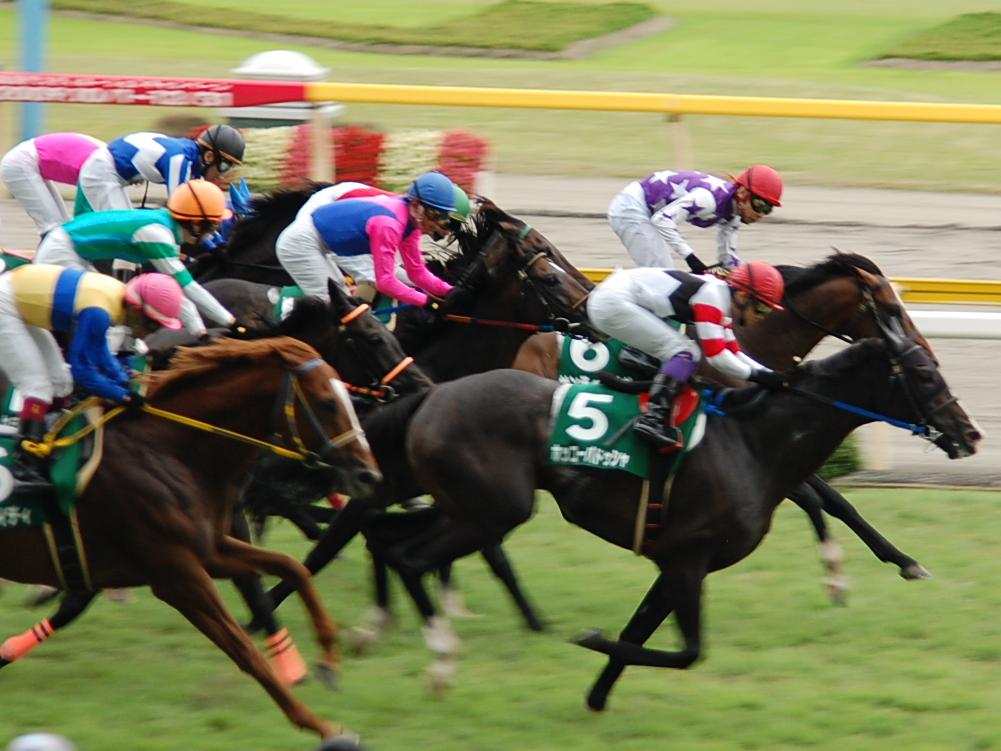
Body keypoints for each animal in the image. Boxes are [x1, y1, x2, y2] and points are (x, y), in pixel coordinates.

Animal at [0, 337, 381, 749]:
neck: (169, 452)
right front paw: (322, 726)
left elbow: (291, 566)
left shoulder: (210, 549)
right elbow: (244, 648)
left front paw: (329, 660)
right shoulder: (178, 576)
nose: (369, 475)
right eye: (327, 402)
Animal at [373, 300, 979, 710]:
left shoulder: (678, 561)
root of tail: (433, 393)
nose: (970, 434)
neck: (753, 441)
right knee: (410, 557)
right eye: (923, 372)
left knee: (393, 542)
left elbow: (638, 634)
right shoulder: (688, 561)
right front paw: (589, 638)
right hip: (491, 511)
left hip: (463, 506)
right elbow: (687, 651)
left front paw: (596, 695)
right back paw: (440, 659)